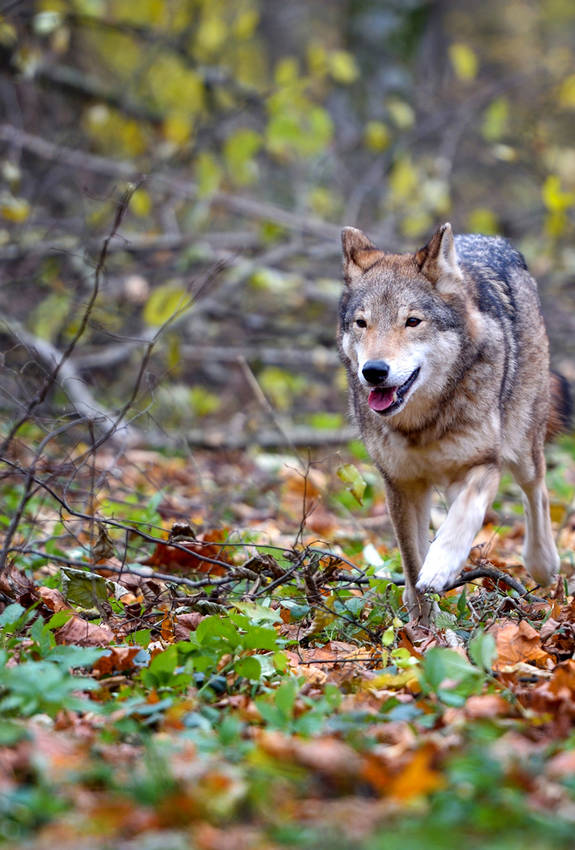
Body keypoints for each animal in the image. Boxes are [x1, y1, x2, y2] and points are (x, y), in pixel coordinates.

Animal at [338, 222, 572, 620]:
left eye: (412, 321)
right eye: (362, 323)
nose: (373, 371)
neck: (422, 426)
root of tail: (491, 240)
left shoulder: (485, 464)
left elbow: (462, 519)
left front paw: (440, 567)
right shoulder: (401, 484)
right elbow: (411, 557)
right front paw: (421, 622)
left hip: (522, 446)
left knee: (536, 492)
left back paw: (542, 564)